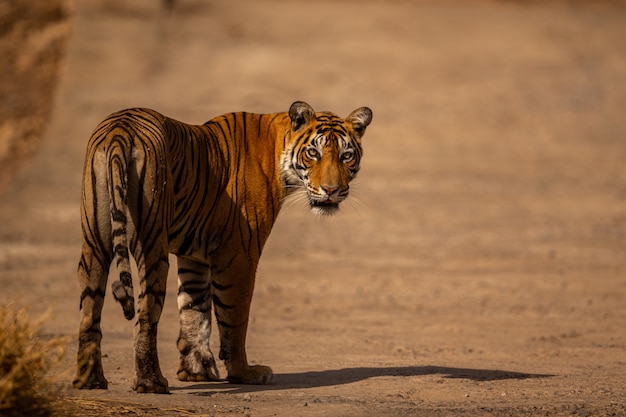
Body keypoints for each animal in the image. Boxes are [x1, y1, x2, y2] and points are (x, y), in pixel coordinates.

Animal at [73, 101, 370, 394]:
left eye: (346, 156)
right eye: (313, 153)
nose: (331, 190)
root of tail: (120, 129)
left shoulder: (194, 256)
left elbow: (194, 311)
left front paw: (196, 371)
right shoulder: (239, 254)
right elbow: (234, 317)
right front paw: (244, 373)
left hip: (94, 244)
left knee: (89, 313)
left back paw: (90, 381)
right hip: (152, 246)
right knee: (146, 314)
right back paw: (151, 383)